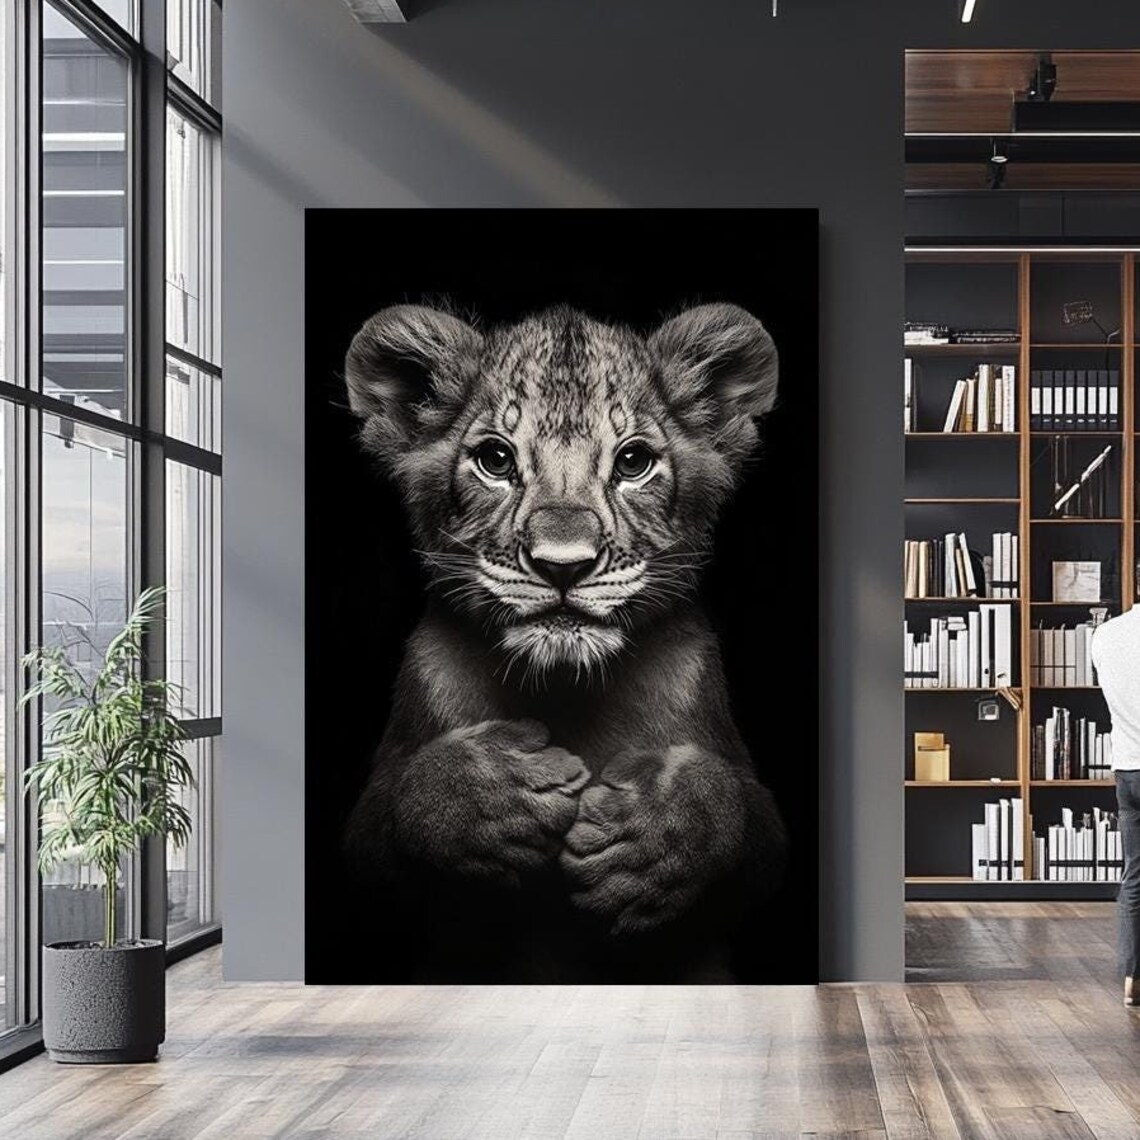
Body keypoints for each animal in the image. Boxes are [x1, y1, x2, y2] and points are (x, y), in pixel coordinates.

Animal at [341, 302, 788, 982]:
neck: (563, 687)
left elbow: (733, 809)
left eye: (632, 463)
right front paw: (489, 793)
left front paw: (652, 832)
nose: (563, 564)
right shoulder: (371, 849)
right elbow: (400, 807)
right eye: (495, 460)